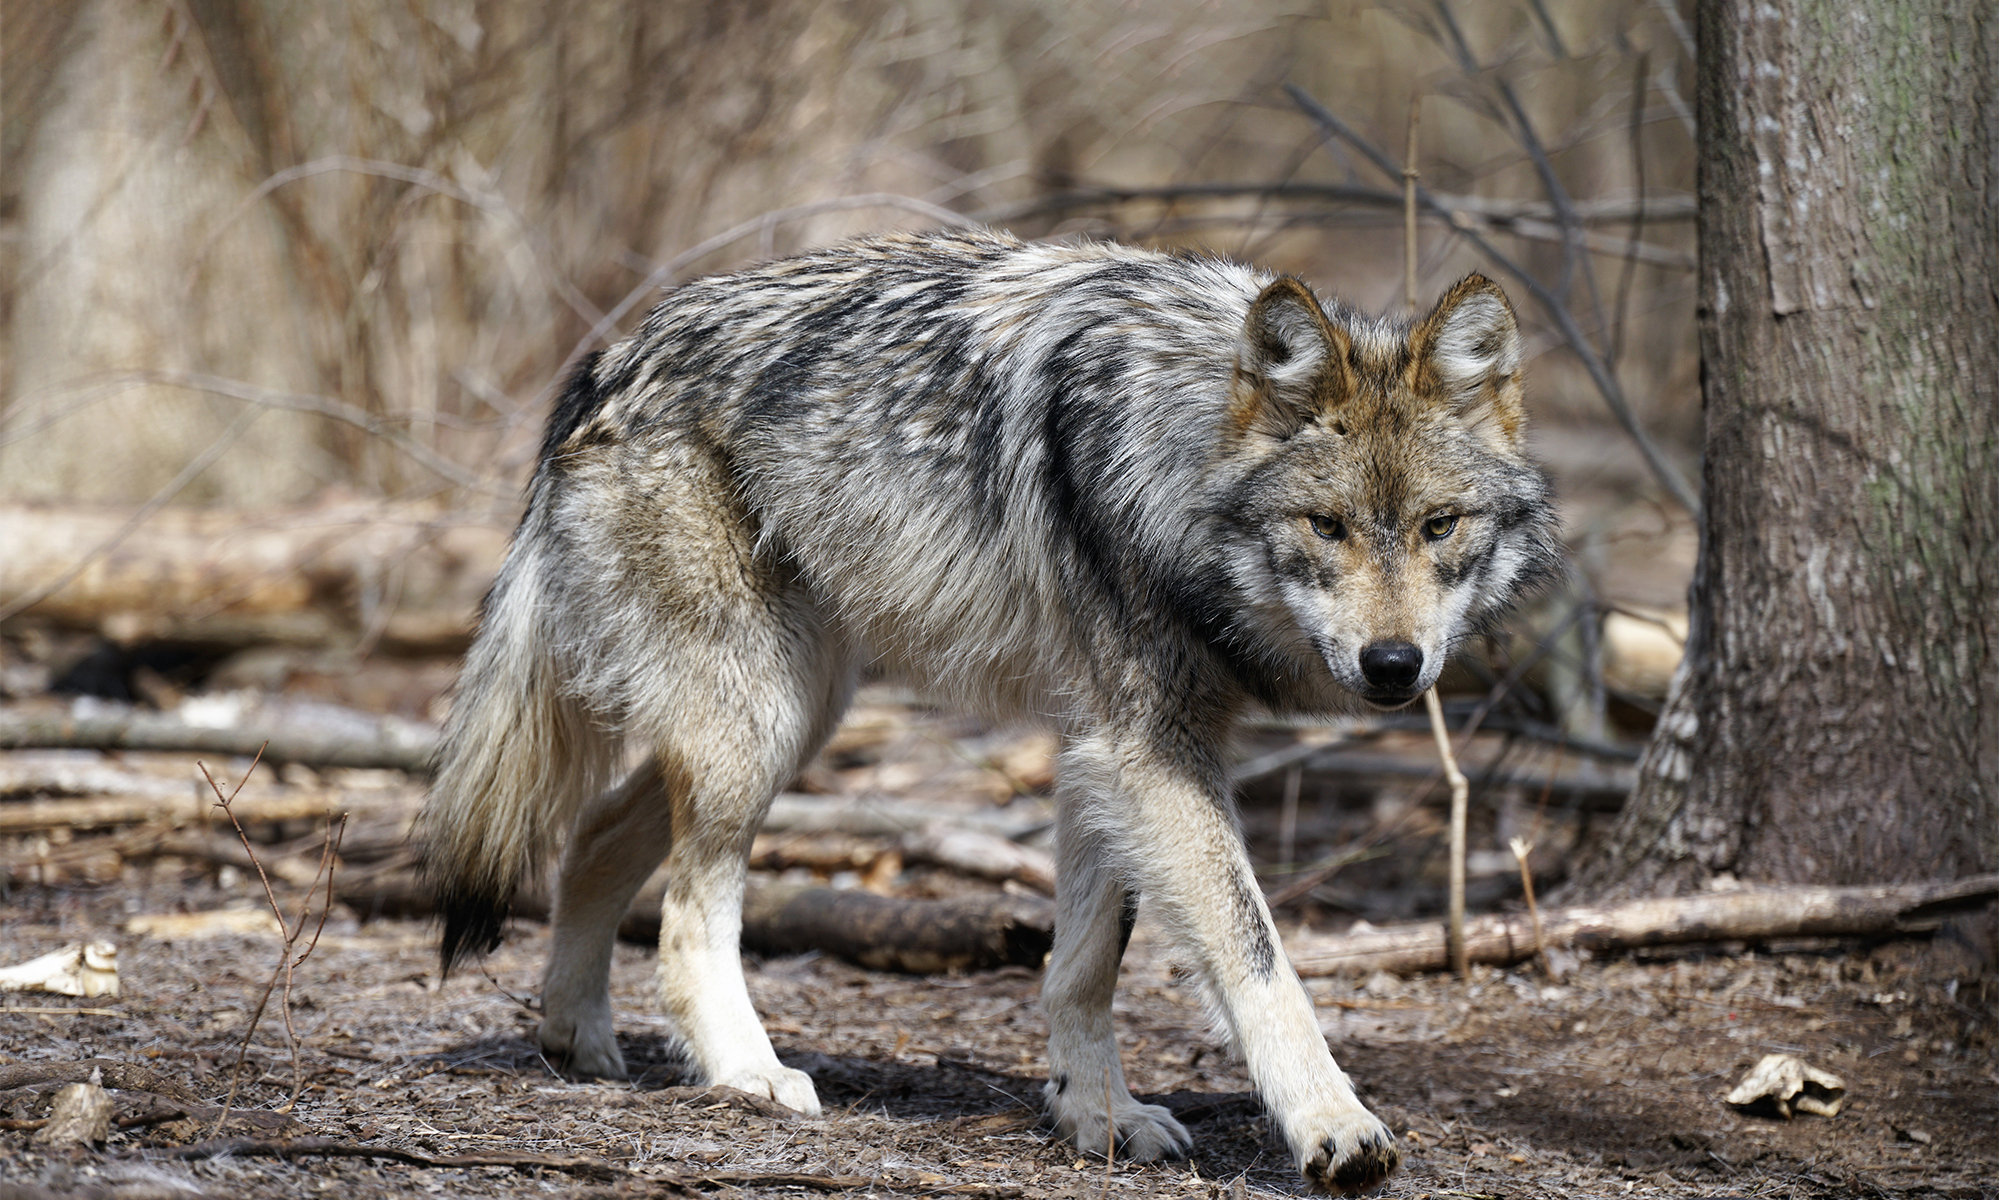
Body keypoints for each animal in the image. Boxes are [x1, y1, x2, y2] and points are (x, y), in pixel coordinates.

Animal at [422, 225, 1560, 1192]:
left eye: (1438, 525)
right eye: (1325, 527)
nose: (1392, 664)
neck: (1173, 447)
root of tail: (610, 357)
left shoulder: (1110, 750)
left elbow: (1084, 966)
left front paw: (1096, 1117)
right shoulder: (1147, 751)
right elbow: (1257, 958)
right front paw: (1333, 1125)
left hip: (794, 714)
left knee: (593, 837)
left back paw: (577, 1040)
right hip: (758, 725)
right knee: (687, 915)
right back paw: (748, 1074)